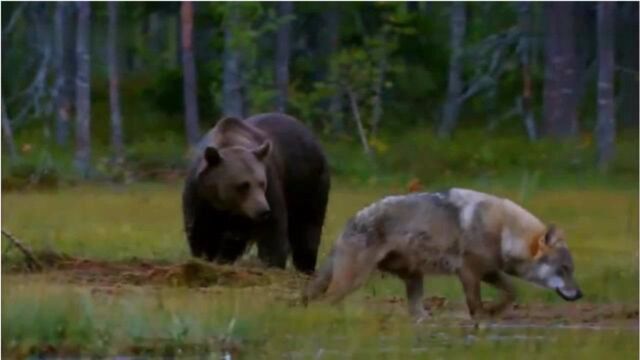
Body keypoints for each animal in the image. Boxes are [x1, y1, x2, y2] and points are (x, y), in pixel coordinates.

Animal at [180, 112, 330, 272]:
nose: (263, 210)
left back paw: (306, 268)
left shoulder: (270, 183)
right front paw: (205, 260)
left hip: (309, 185)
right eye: (243, 185)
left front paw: (271, 265)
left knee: (307, 230)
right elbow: (201, 234)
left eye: (261, 183)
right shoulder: (199, 197)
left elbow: (273, 233)